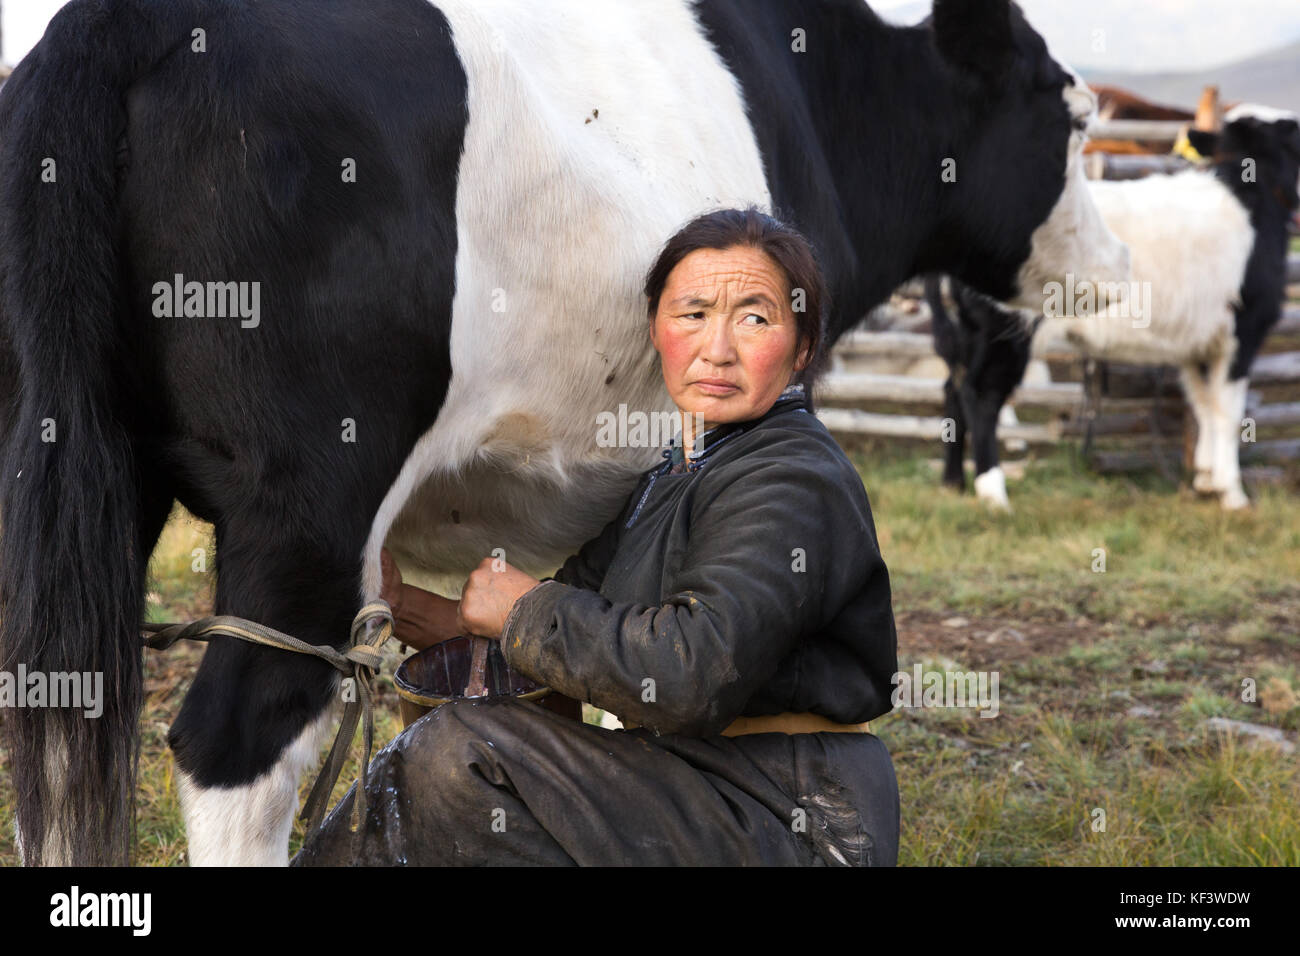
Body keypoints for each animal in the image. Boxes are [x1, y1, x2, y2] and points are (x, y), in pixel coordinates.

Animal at [0, 0, 1128, 868]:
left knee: (56, 719)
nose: (1117, 263)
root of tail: (136, 18)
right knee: (234, 746)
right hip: (307, 499)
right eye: (1072, 119)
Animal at [930, 104, 1294, 512]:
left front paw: (1203, 479)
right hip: (1004, 331)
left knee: (953, 387)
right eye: (1291, 131)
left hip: (967, 329)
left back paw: (953, 482)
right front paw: (1232, 494)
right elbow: (1227, 413)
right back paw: (994, 493)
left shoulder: (1197, 342)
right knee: (981, 396)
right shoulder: (1243, 331)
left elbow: (1203, 405)